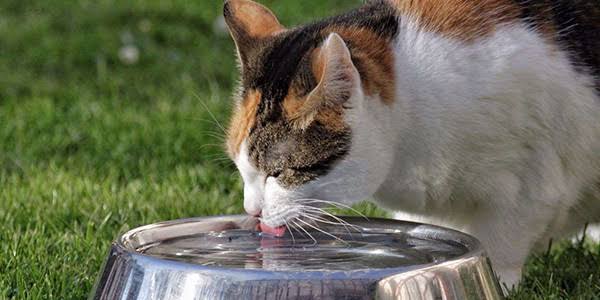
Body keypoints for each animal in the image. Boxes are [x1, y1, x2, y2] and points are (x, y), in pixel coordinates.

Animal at [220, 0, 600, 290]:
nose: (252, 211)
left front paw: (499, 284)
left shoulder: (529, 185)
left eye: (279, 172)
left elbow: (500, 245)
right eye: (241, 169)